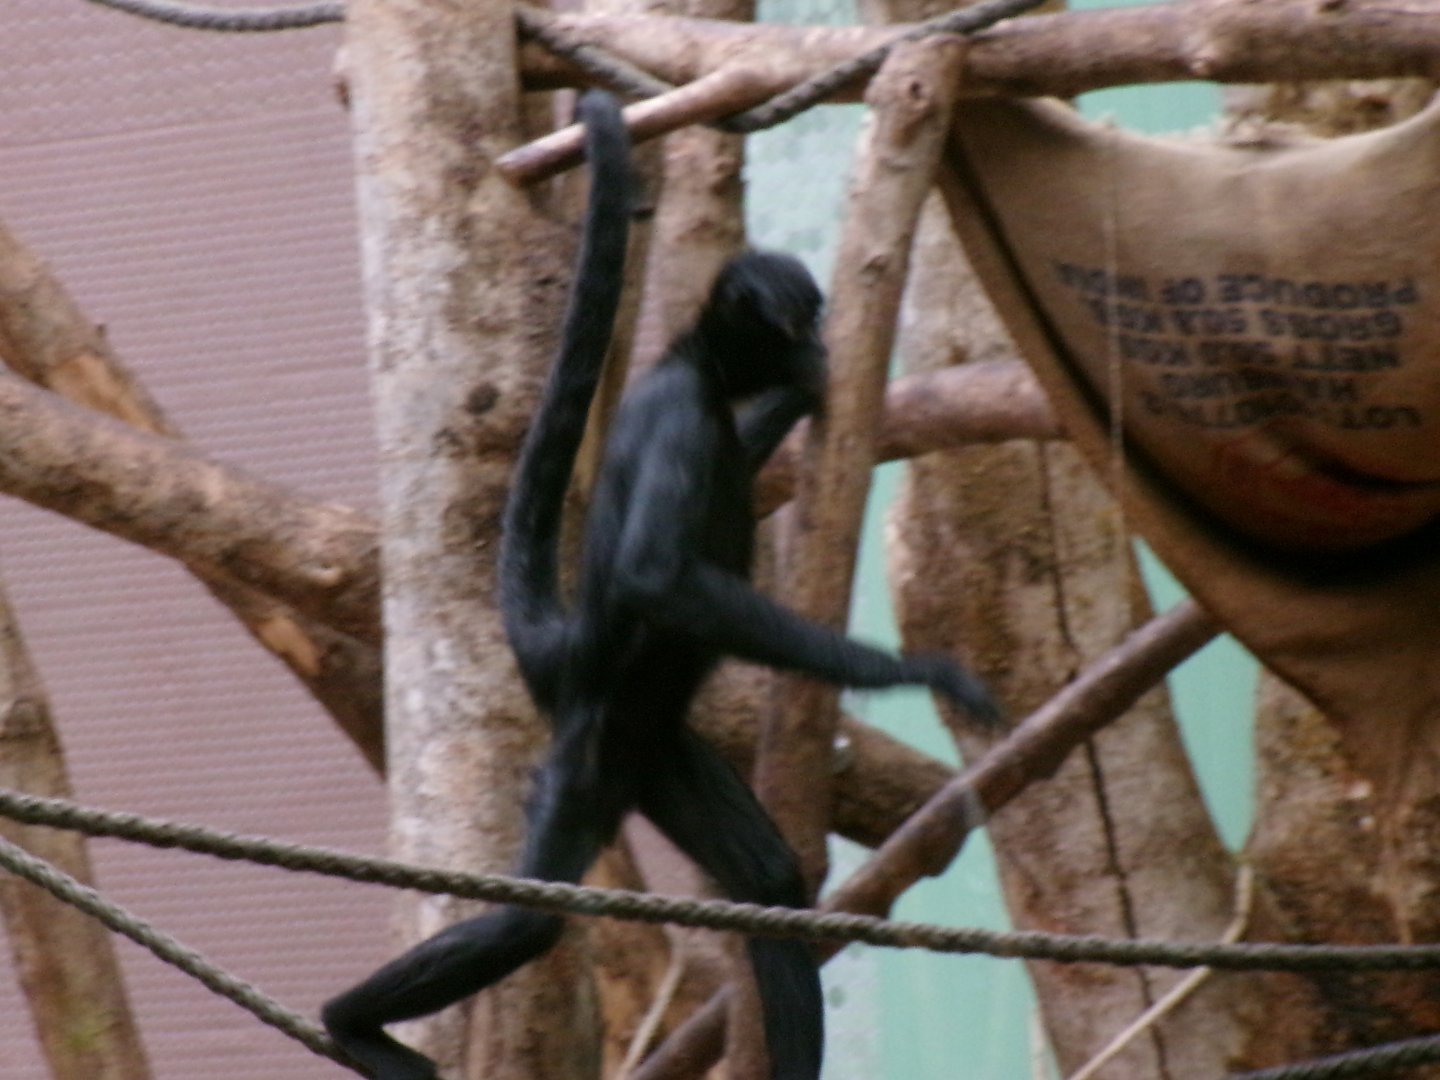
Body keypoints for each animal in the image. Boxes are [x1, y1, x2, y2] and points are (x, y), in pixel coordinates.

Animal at [322, 89, 999, 1080]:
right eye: (804, 314)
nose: (821, 336)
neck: (689, 364)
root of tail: (562, 649)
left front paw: (807, 388)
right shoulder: (682, 416)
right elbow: (652, 575)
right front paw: (919, 672)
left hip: (653, 752)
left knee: (768, 879)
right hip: (589, 748)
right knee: (527, 925)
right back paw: (347, 1023)